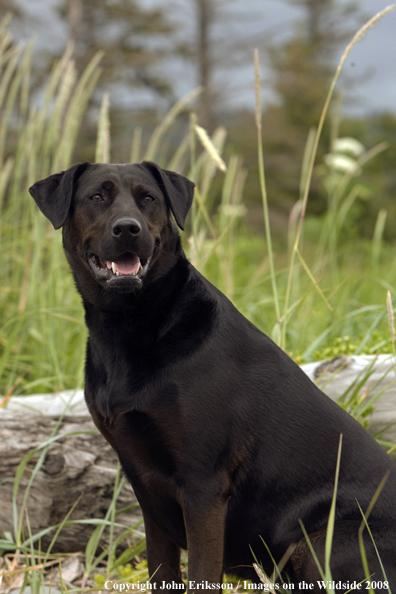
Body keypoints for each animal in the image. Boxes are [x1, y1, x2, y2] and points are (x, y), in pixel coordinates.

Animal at [30, 161, 396, 588]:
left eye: (148, 199)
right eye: (96, 197)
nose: (128, 229)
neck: (134, 325)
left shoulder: (203, 487)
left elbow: (202, 573)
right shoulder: (148, 490)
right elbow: (162, 573)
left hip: (323, 540)